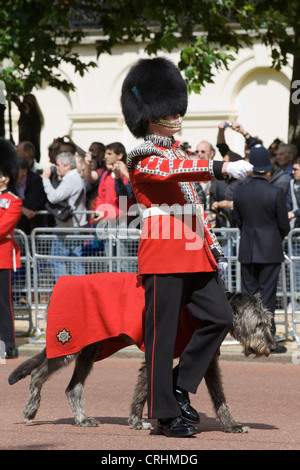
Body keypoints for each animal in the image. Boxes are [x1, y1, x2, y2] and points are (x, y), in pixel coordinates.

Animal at [8, 294, 276, 434]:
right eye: (258, 324)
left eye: (268, 321)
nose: (274, 347)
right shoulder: (156, 349)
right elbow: (143, 390)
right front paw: (137, 421)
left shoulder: (207, 358)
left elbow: (219, 395)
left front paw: (232, 424)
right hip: (70, 343)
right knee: (39, 373)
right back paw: (31, 408)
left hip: (90, 348)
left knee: (72, 387)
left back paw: (82, 419)